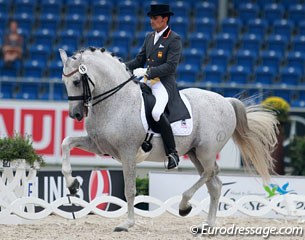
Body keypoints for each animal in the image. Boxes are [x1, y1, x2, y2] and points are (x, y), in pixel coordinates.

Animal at [58, 47, 278, 232]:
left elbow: (130, 190)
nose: (76, 114)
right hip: (195, 153)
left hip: (206, 151)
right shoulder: (99, 145)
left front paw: (127, 223)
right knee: (214, 184)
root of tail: (226, 100)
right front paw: (72, 185)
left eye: (76, 81)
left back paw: (184, 206)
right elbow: (66, 143)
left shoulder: (127, 153)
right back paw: (207, 225)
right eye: (64, 82)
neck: (115, 102)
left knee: (209, 173)